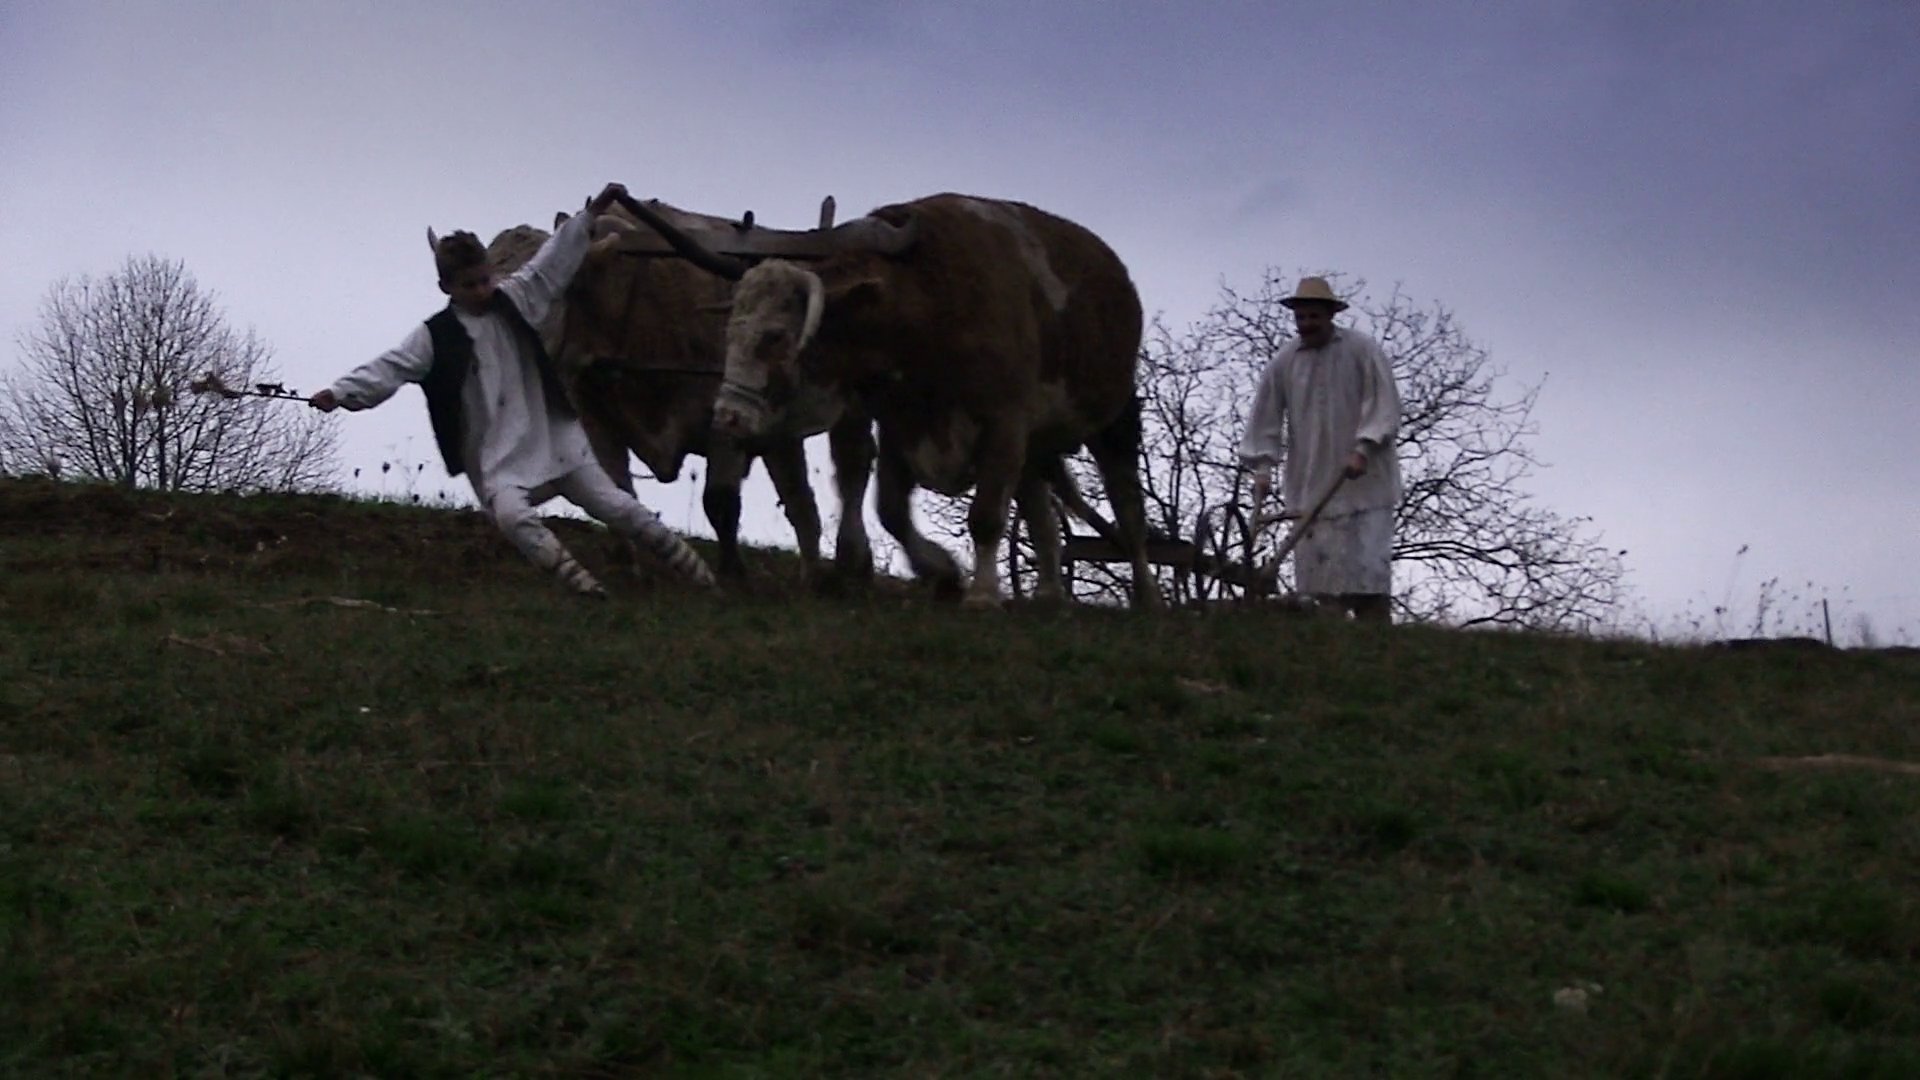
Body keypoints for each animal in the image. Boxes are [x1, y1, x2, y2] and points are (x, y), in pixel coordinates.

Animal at [483, 199, 873, 582]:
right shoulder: (597, 418)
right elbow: (617, 492)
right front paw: (627, 564)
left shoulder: (726, 418)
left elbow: (719, 501)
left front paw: (732, 573)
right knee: (800, 499)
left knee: (852, 472)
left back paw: (854, 561)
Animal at [634, 192, 1162, 609]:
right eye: (731, 332)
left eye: (775, 336)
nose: (728, 416)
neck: (928, 304)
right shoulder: (899, 427)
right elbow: (890, 509)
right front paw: (943, 571)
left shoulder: (1004, 422)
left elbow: (986, 515)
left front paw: (981, 594)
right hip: (1037, 445)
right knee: (1040, 507)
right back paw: (1051, 595)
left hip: (1114, 421)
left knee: (1129, 509)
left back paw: (1147, 597)